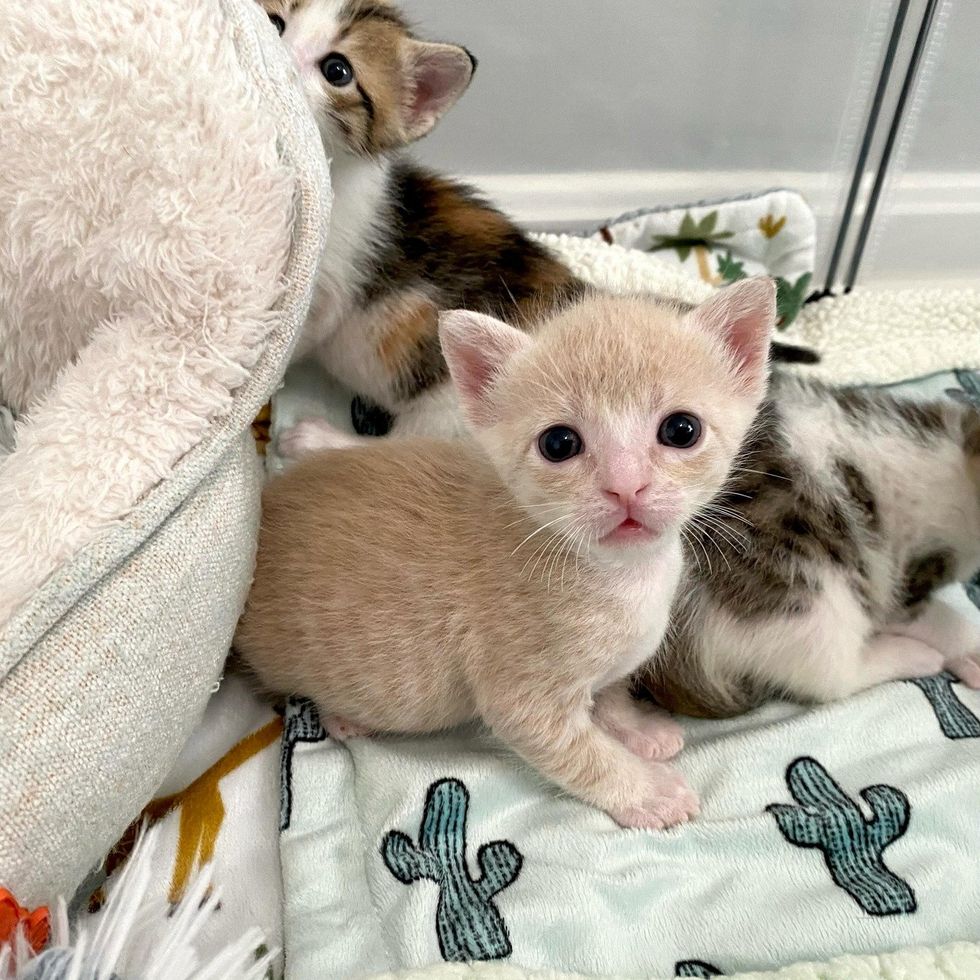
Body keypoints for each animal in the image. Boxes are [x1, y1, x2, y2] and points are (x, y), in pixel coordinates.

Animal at [234, 280, 776, 832]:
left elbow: (612, 689)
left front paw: (635, 726)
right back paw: (343, 716)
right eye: (559, 443)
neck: (623, 576)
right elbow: (585, 757)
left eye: (681, 430)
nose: (626, 487)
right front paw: (649, 792)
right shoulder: (521, 695)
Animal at [256, 0, 816, 440]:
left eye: (337, 70)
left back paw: (317, 441)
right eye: (275, 23)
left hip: (458, 407)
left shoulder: (329, 283)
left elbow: (298, 333)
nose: (276, 56)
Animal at [640, 372, 980, 716]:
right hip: (808, 593)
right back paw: (915, 655)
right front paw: (970, 648)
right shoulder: (907, 576)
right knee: (834, 676)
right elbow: (934, 618)